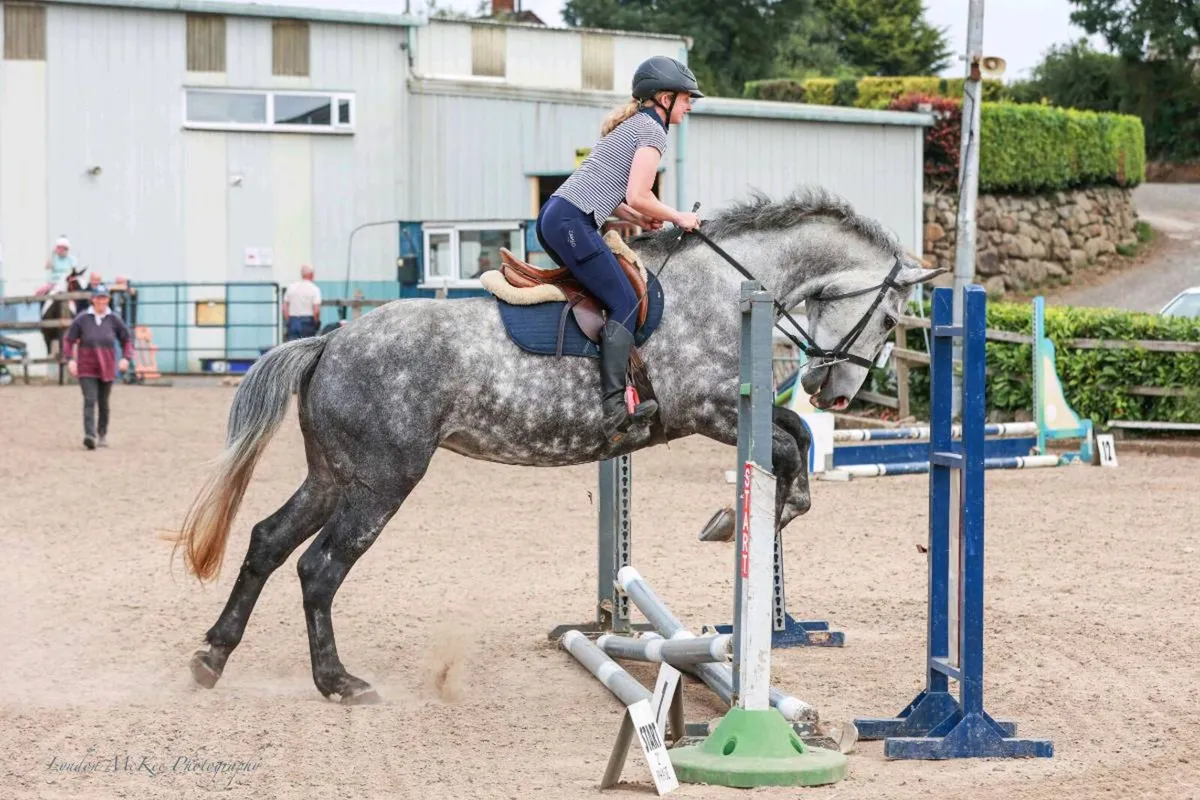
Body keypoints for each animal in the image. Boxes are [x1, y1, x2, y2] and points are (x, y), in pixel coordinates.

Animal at [173, 188, 946, 704]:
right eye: (892, 318)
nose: (833, 390)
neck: (728, 285)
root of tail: (330, 340)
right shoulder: (709, 409)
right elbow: (785, 453)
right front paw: (740, 520)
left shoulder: (727, 412)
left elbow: (794, 444)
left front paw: (741, 519)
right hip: (382, 482)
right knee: (319, 568)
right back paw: (337, 682)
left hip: (335, 474)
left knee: (268, 542)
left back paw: (213, 656)